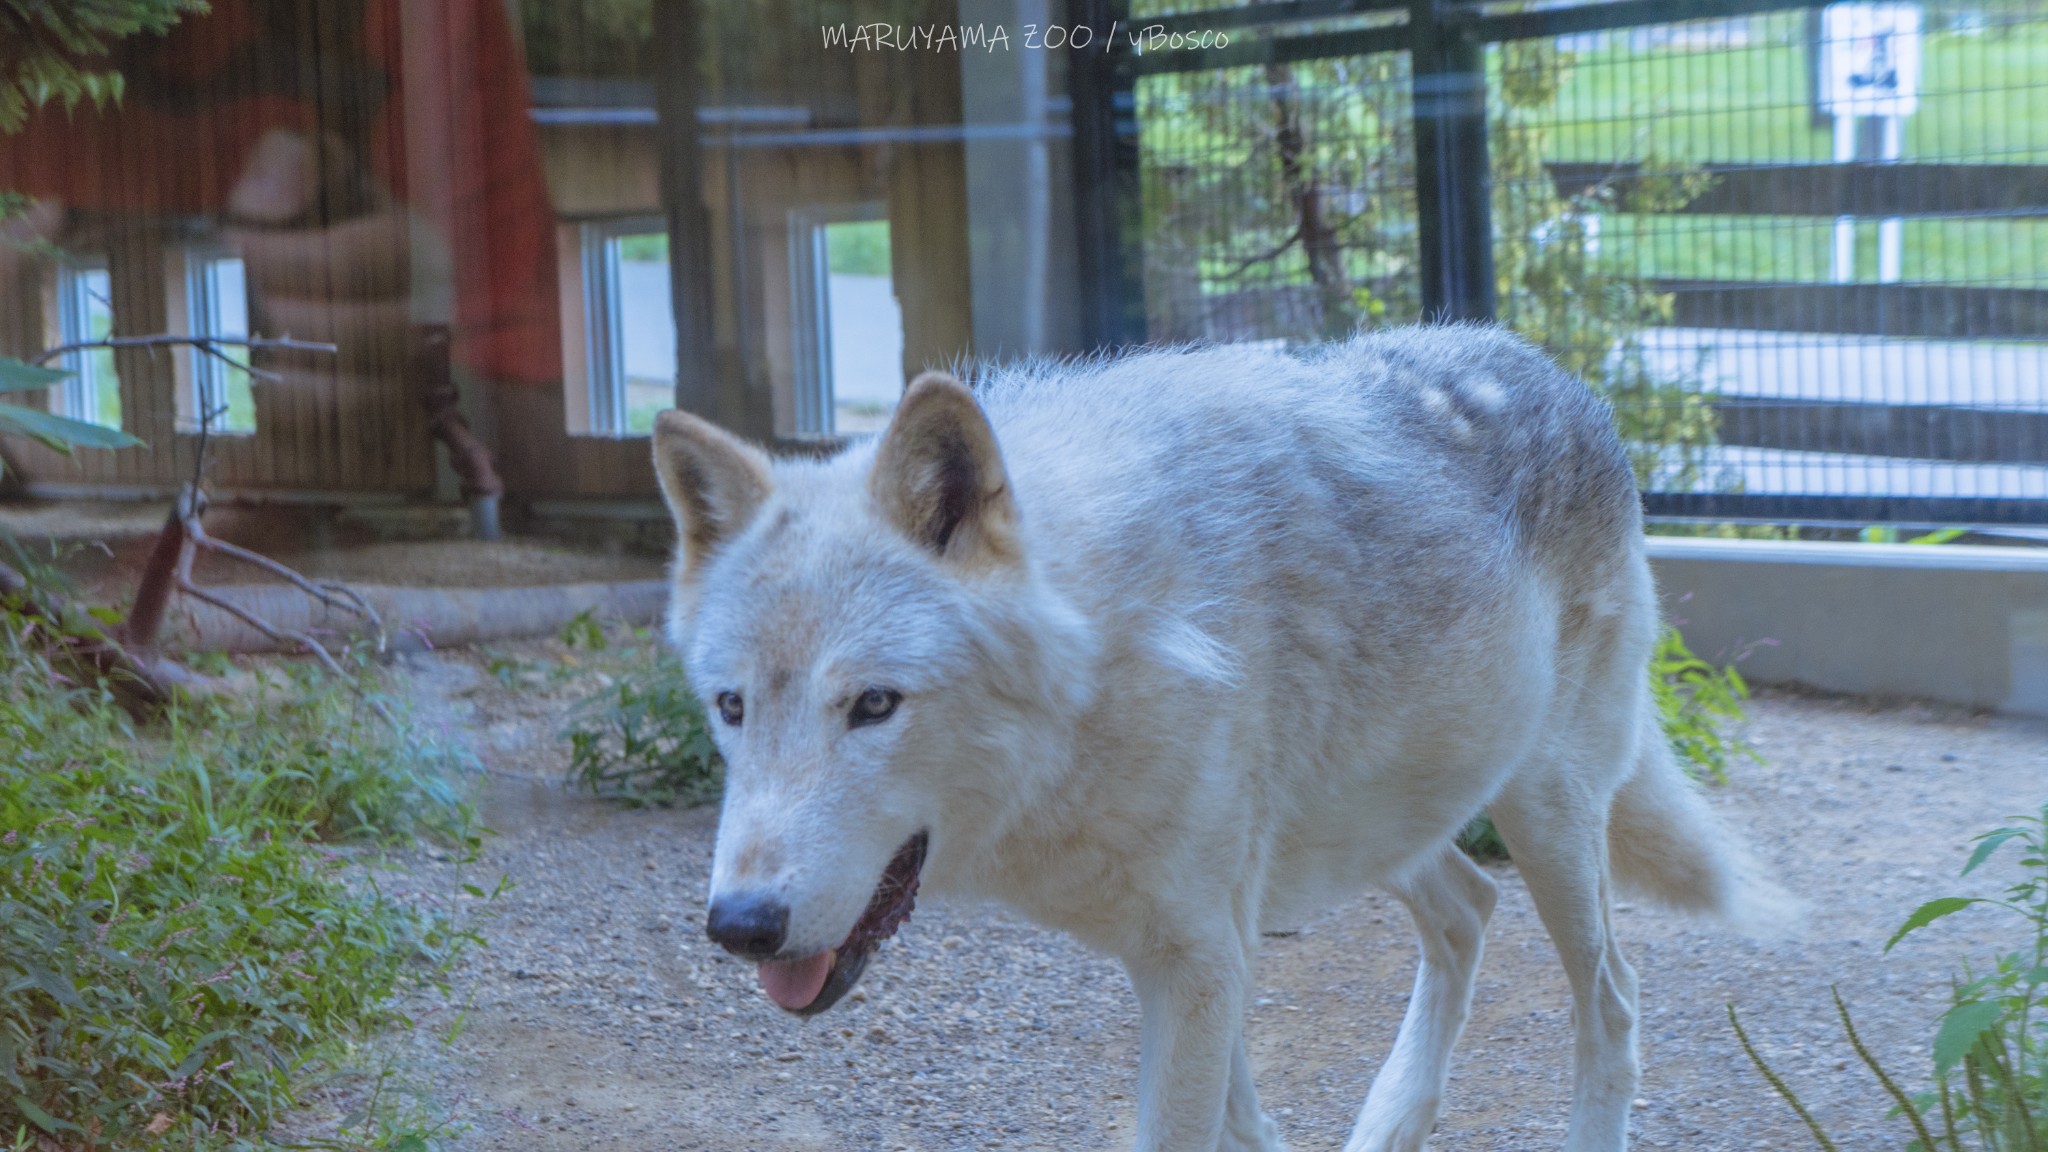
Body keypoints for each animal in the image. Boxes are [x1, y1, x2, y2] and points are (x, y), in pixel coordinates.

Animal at [651, 325, 1761, 1147]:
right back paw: (1390, 1121)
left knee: (1611, 1002)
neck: (1106, 652)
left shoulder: (1198, 958)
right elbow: (1241, 1126)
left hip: (1540, 814)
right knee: (1468, 908)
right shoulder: (1205, 955)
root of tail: (1557, 372)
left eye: (874, 705)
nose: (740, 924)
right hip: (1377, 828)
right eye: (732, 707)